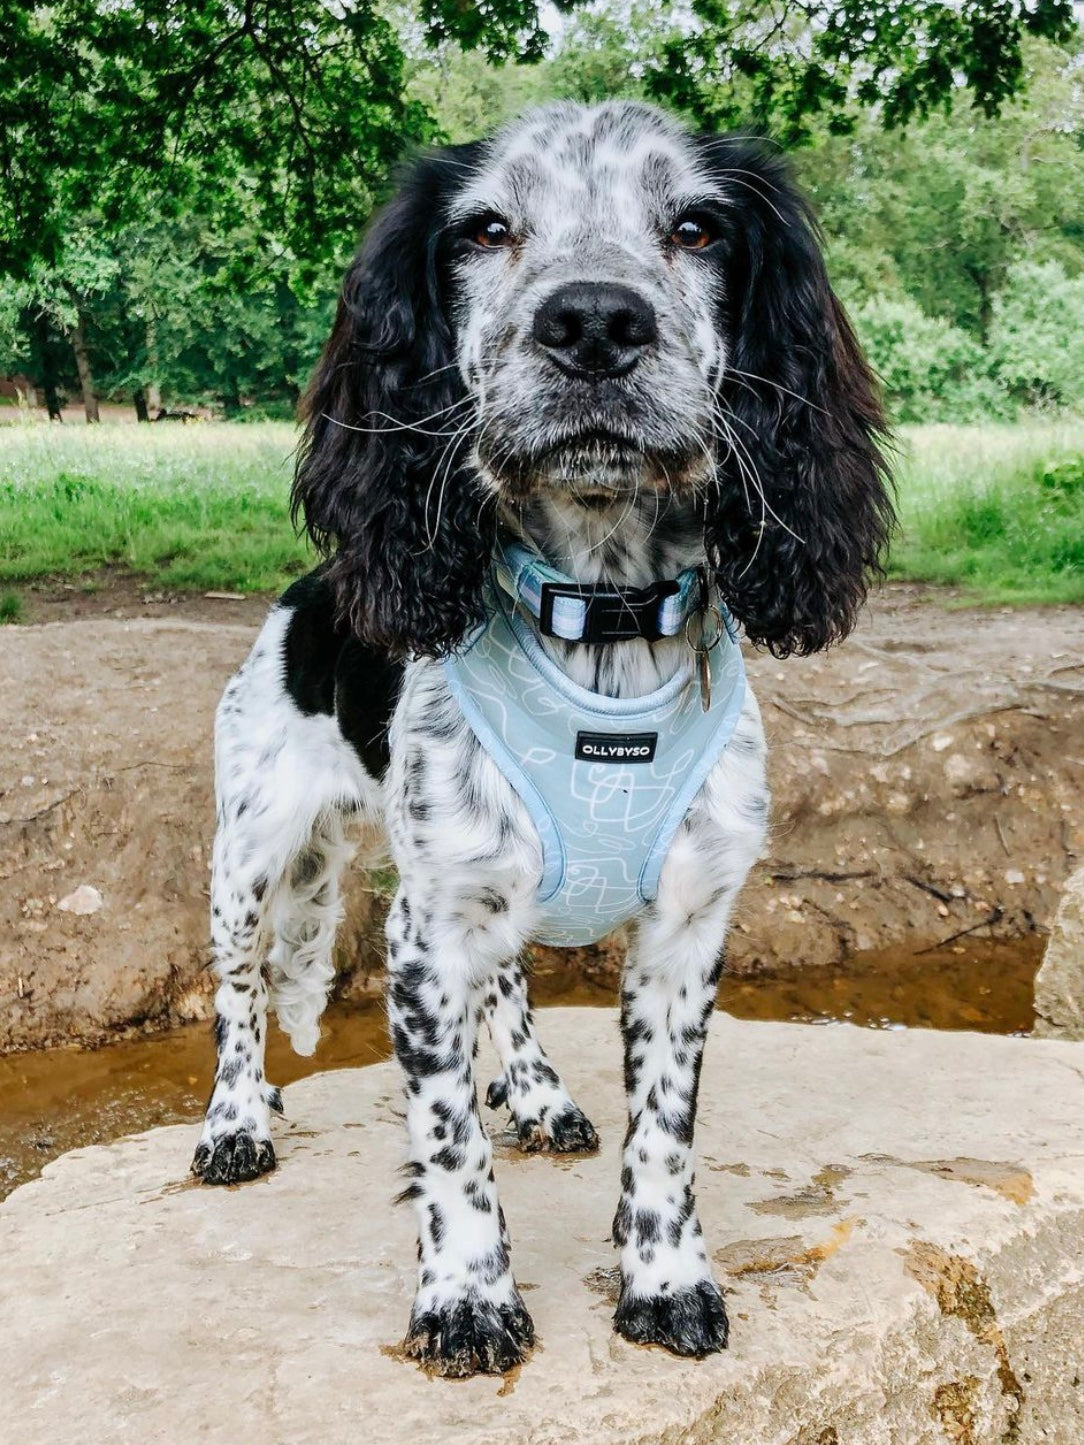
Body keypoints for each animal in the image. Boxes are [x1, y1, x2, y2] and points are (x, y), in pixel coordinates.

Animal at [195, 101, 890, 1375]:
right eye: (485, 229)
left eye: (697, 226)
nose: (594, 322)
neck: (602, 617)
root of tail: (312, 590)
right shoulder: (422, 939)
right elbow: (446, 1142)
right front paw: (465, 1296)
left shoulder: (685, 927)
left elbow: (664, 1129)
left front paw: (666, 1275)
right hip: (250, 850)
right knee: (236, 994)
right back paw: (233, 1119)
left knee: (509, 984)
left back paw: (536, 1090)